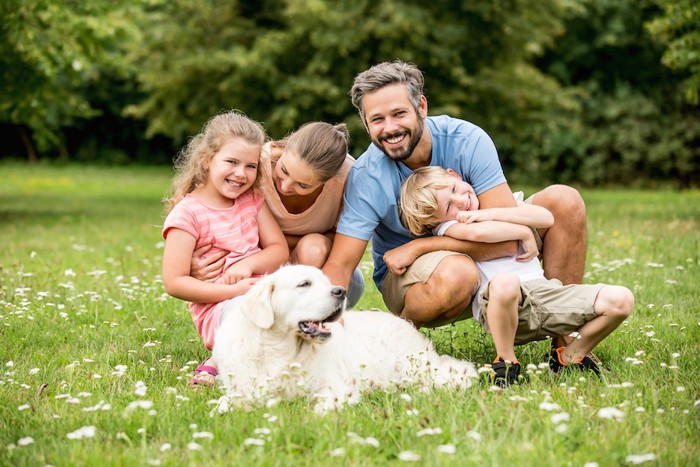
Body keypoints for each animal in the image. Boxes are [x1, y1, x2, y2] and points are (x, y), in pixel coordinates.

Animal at [213, 266, 476, 414]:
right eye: (304, 284)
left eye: (327, 282)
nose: (340, 291)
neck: (281, 350)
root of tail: (407, 324)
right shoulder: (242, 388)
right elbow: (222, 406)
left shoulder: (335, 387)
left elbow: (319, 410)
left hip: (412, 366)